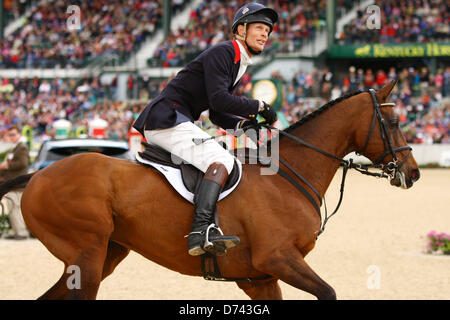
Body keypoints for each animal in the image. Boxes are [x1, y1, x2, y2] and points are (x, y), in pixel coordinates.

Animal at [0, 80, 418, 300]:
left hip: (104, 255)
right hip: (86, 258)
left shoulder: (260, 277)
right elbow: (328, 292)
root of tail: (37, 176)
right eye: (395, 122)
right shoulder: (278, 259)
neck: (287, 177)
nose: (412, 173)